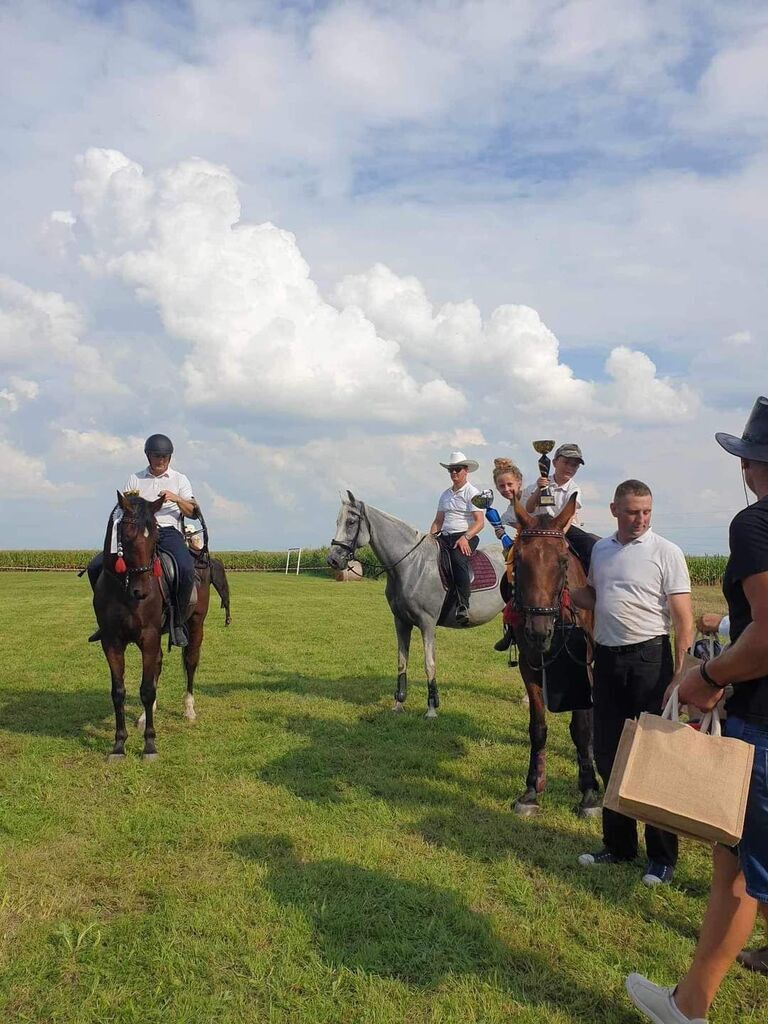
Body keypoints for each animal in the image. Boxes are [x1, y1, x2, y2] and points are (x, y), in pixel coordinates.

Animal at [327, 491, 507, 716]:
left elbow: (429, 664)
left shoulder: (427, 623)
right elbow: (401, 661)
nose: (333, 560)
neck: (411, 564)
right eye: (337, 521)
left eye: (351, 522)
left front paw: (431, 708)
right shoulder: (401, 622)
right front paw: (399, 704)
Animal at [512, 491, 602, 819]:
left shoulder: (582, 667)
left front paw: (589, 793)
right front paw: (531, 790)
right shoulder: (529, 667)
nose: (538, 631)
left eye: (563, 561)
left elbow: (582, 727)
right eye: (518, 559)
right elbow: (537, 727)